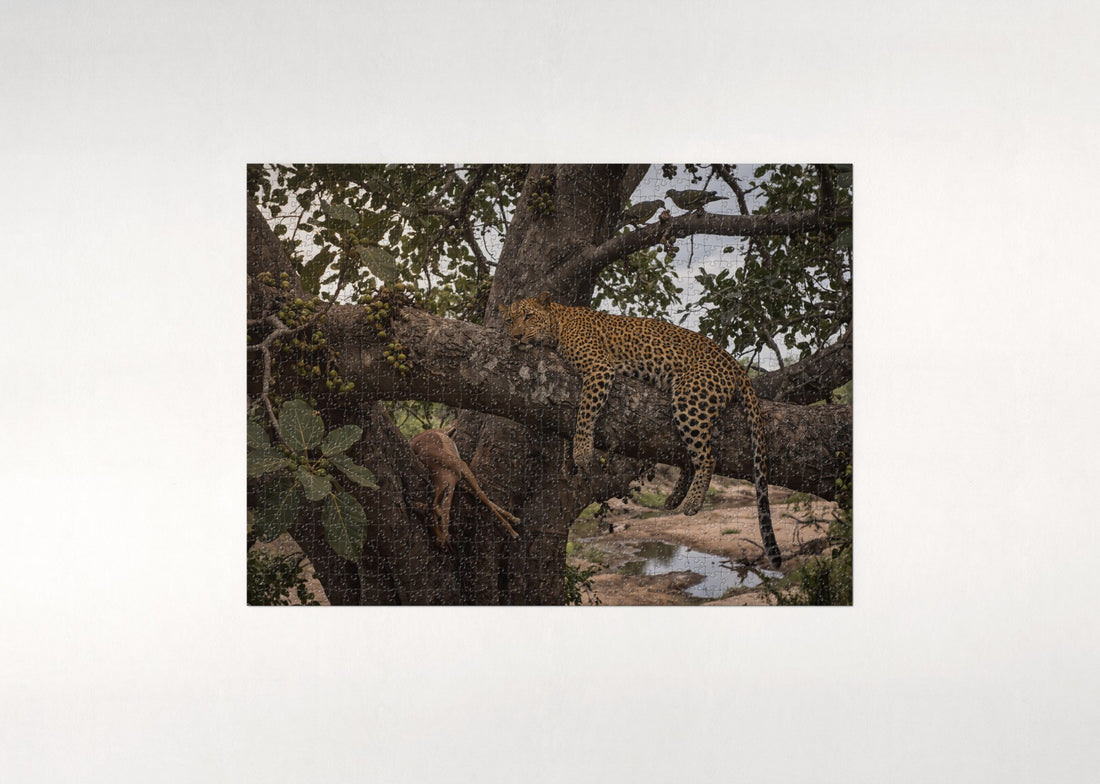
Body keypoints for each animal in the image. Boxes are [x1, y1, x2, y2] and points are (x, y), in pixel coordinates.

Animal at [499, 290, 781, 568]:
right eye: (509, 321)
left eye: (528, 316)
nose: (516, 336)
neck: (559, 322)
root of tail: (736, 365)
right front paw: (570, 460)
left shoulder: (599, 367)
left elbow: (584, 412)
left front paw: (581, 451)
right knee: (692, 455)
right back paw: (675, 497)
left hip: (689, 398)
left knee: (707, 458)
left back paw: (691, 502)